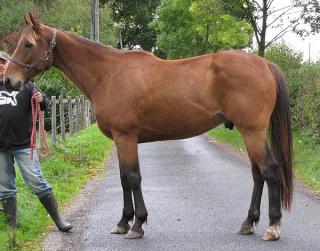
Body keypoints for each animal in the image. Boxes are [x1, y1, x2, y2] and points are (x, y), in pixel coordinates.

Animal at [4, 13, 292, 241]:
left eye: (28, 44)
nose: (8, 80)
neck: (108, 74)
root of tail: (264, 63)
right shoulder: (119, 140)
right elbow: (123, 180)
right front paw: (123, 222)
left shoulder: (126, 137)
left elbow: (133, 177)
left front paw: (138, 225)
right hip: (248, 133)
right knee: (257, 175)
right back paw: (249, 223)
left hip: (253, 132)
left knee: (270, 171)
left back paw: (273, 227)